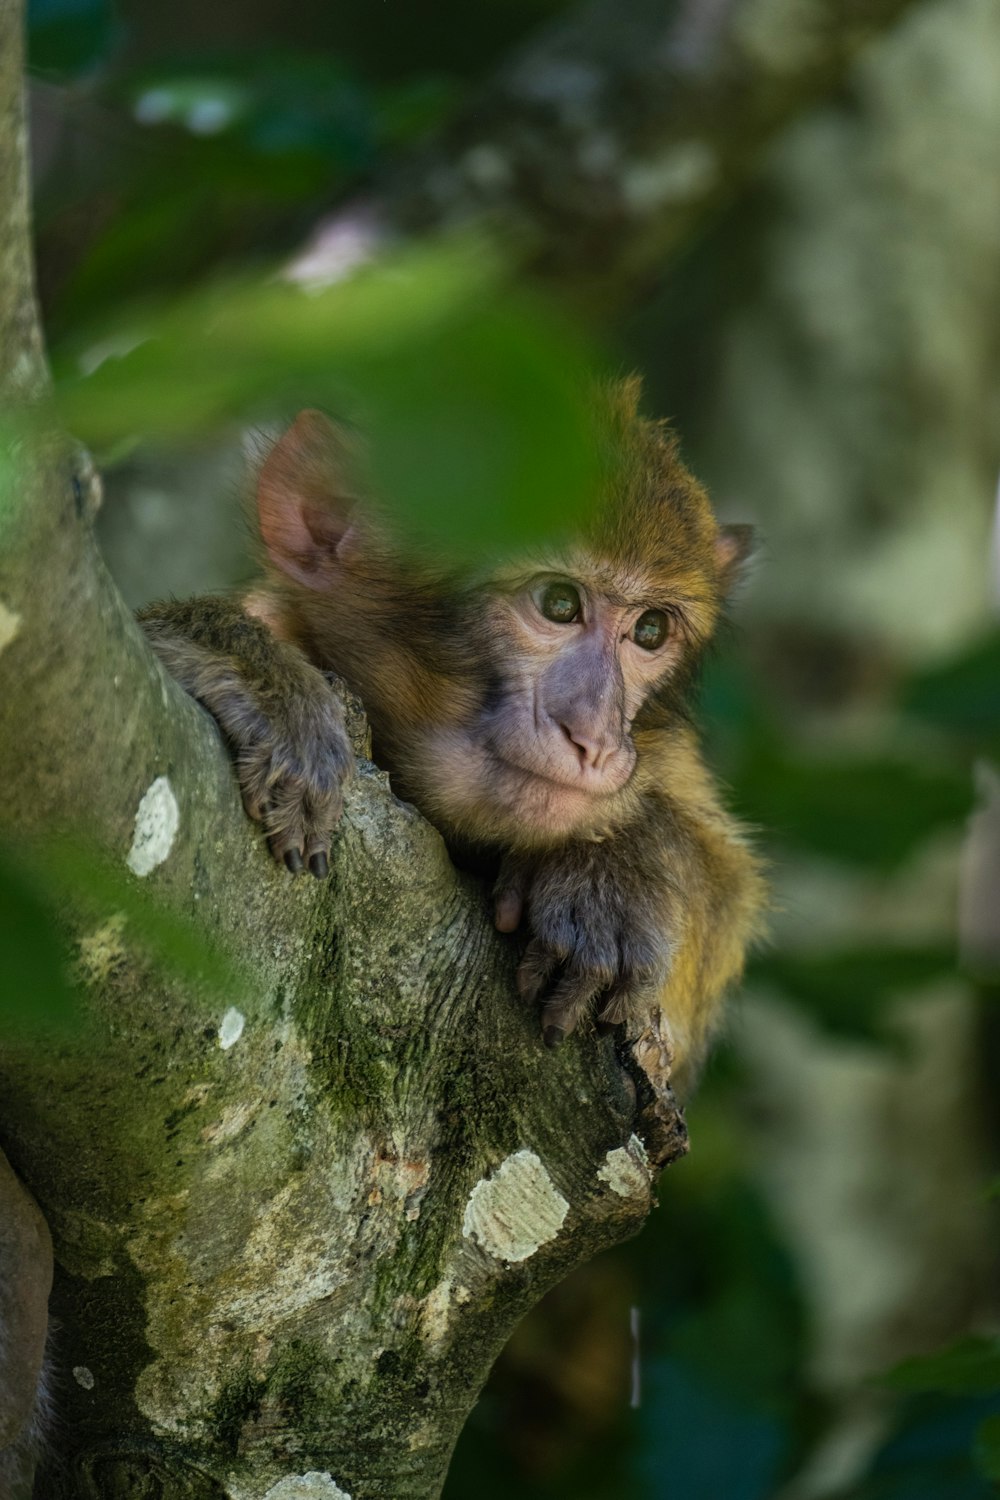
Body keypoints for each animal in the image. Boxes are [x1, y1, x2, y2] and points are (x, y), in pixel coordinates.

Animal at [140, 378, 767, 1080]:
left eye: (650, 630)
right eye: (558, 603)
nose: (596, 738)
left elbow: (727, 886)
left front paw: (616, 881)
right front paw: (248, 669)